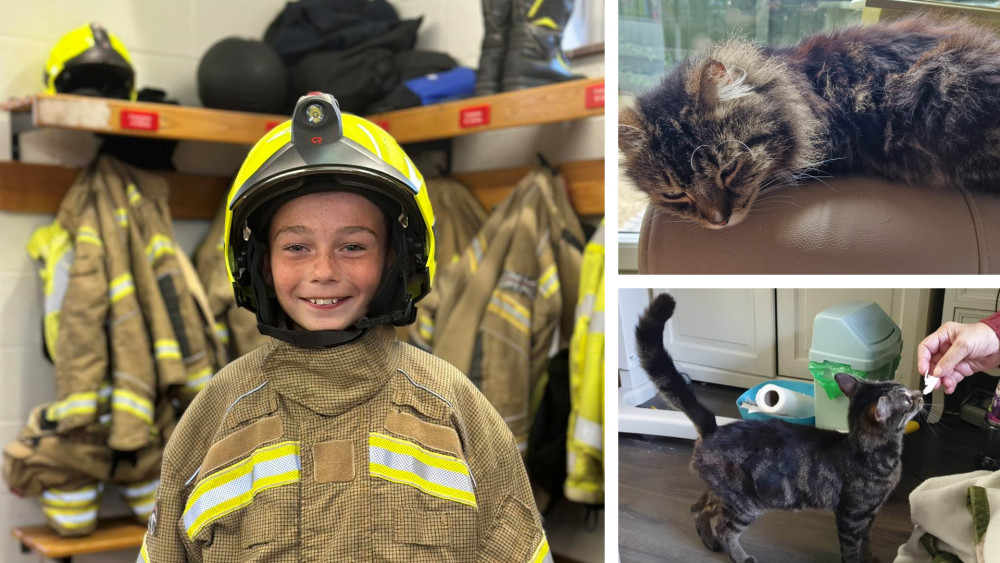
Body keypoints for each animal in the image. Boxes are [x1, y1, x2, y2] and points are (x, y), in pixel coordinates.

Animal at [636, 294, 924, 560]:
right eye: (907, 399)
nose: (920, 392)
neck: (874, 452)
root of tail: (713, 430)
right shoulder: (852, 517)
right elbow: (852, 550)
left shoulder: (869, 516)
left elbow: (867, 542)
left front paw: (872, 558)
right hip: (746, 503)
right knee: (725, 528)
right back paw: (738, 555)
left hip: (723, 493)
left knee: (697, 508)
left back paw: (709, 542)